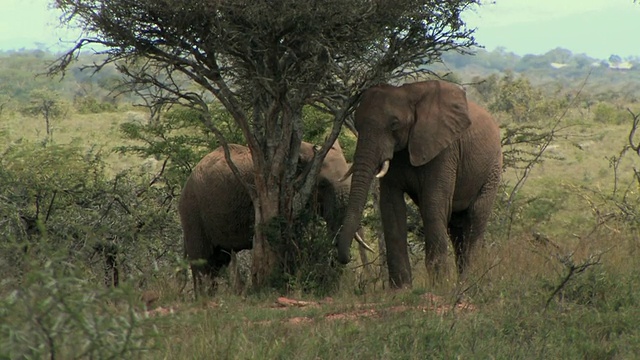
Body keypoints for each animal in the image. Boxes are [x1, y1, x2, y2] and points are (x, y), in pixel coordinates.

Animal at [338, 80, 502, 288]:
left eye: (394, 124)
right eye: (357, 125)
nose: (346, 258)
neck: (407, 93)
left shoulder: (444, 151)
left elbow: (433, 203)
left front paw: (439, 285)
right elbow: (391, 206)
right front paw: (401, 289)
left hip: (492, 168)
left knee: (476, 216)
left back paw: (468, 282)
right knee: (456, 226)